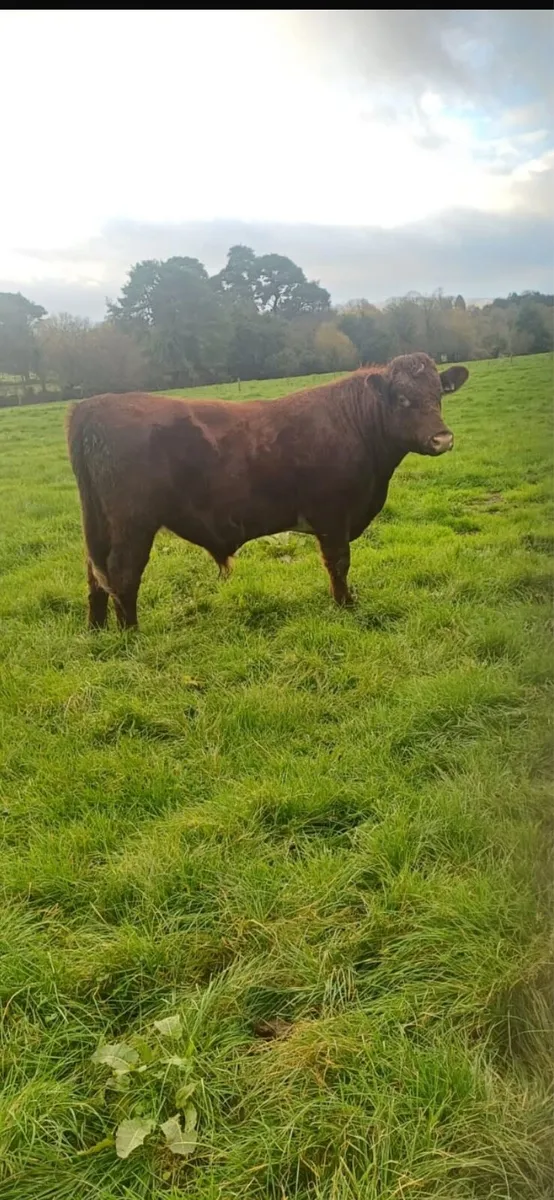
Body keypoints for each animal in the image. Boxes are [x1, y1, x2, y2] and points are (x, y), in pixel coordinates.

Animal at [66, 352, 469, 631]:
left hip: (100, 526)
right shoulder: (333, 515)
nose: (443, 438)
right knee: (122, 574)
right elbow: (339, 563)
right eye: (401, 399)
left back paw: (97, 631)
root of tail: (93, 403)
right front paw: (346, 606)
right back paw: (131, 634)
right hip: (132, 525)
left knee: (94, 576)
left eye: (439, 394)